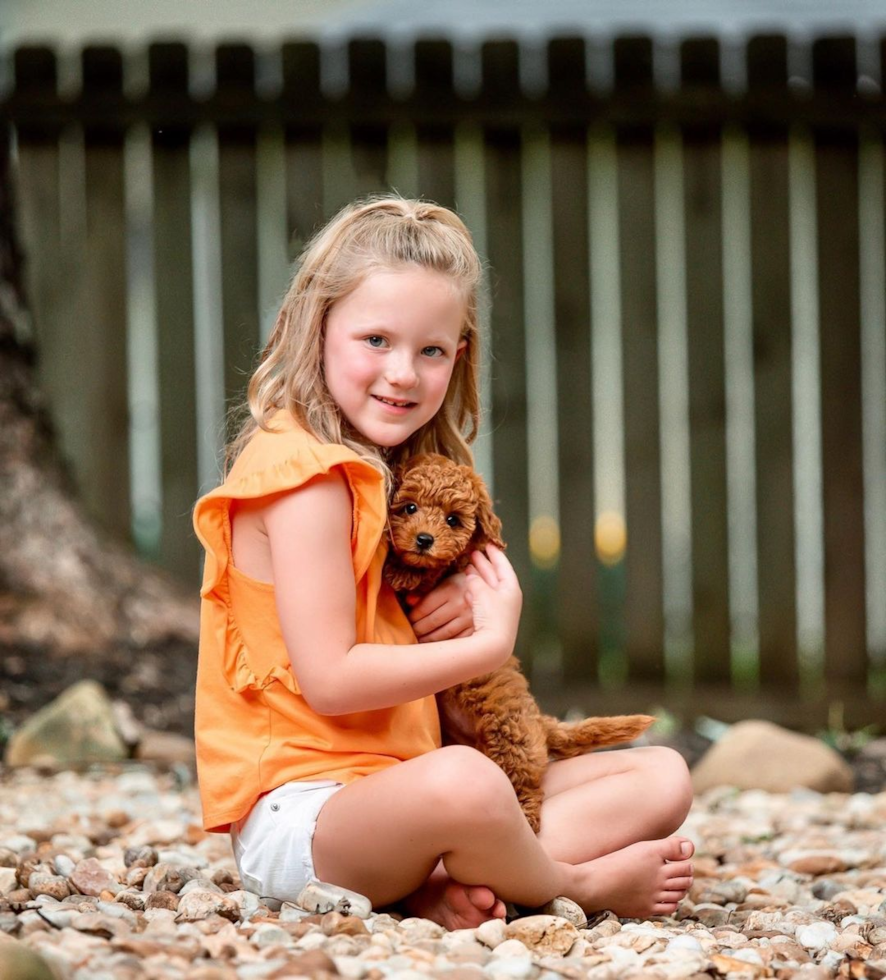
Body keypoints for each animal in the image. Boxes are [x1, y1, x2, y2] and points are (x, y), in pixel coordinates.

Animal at [386, 456, 656, 832]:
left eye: (453, 520)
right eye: (409, 507)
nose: (424, 540)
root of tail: (541, 721)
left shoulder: (456, 564)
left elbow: (433, 571)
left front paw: (401, 571)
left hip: (510, 739)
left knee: (527, 787)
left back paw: (527, 818)